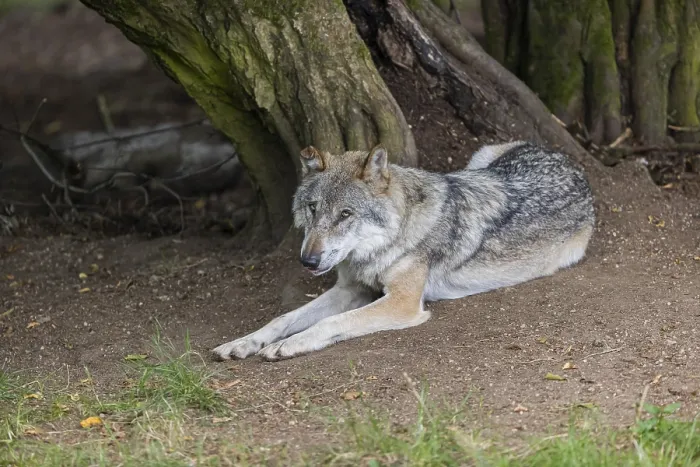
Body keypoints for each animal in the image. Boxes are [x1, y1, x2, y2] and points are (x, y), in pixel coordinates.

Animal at [212, 141, 595, 361]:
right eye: (312, 208)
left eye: (345, 214)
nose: (308, 261)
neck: (384, 244)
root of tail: (568, 159)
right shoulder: (350, 289)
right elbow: (283, 318)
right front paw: (244, 343)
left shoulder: (403, 303)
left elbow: (331, 322)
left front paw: (288, 345)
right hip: (478, 163)